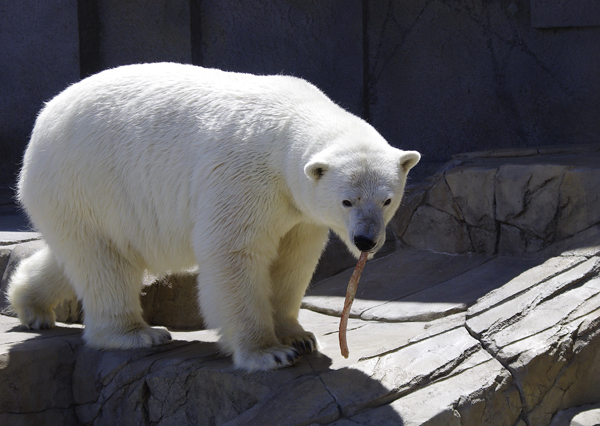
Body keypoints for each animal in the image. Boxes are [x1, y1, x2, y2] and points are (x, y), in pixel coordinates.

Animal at [5, 62, 418, 370]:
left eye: (387, 199)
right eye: (348, 201)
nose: (367, 240)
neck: (291, 120)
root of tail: (44, 117)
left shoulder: (298, 210)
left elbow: (292, 260)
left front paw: (299, 336)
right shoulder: (245, 177)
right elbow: (234, 253)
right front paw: (269, 352)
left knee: (78, 254)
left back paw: (31, 306)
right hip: (87, 181)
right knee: (104, 261)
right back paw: (137, 333)